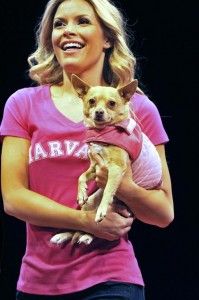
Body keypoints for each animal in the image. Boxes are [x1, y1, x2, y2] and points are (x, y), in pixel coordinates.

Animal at [50, 74, 162, 245]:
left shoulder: (115, 169)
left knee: (97, 230)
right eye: (91, 101)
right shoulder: (95, 167)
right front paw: (81, 193)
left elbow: (108, 188)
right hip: (89, 203)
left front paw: (102, 210)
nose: (99, 112)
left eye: (112, 103)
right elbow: (81, 177)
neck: (103, 133)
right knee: (81, 225)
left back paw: (87, 235)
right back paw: (64, 235)